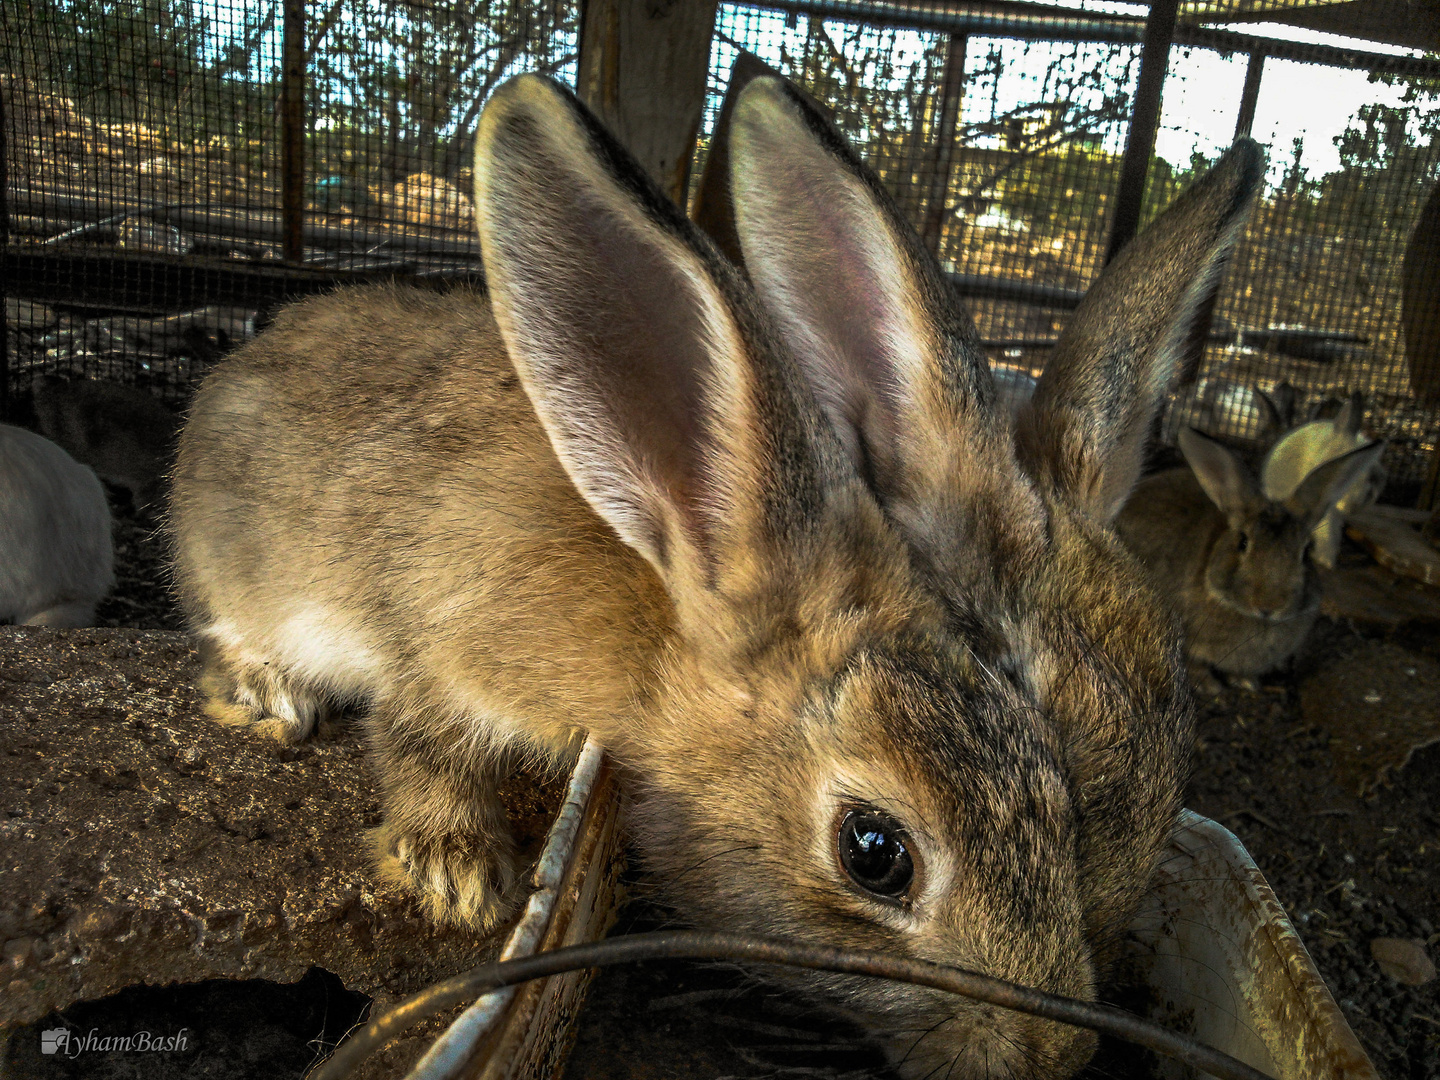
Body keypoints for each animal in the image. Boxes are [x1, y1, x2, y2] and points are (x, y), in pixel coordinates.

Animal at [171, 69, 1261, 1080]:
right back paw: (264, 694)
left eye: (1067, 797)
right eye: (875, 854)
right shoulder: (446, 642)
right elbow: (422, 738)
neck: (666, 619)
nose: (1051, 1052)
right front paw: (456, 874)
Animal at [1111, 426, 1382, 694]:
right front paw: (1209, 686)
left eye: (1306, 552)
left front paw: (1246, 682)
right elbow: (1191, 663)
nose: (1269, 605)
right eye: (1242, 542)